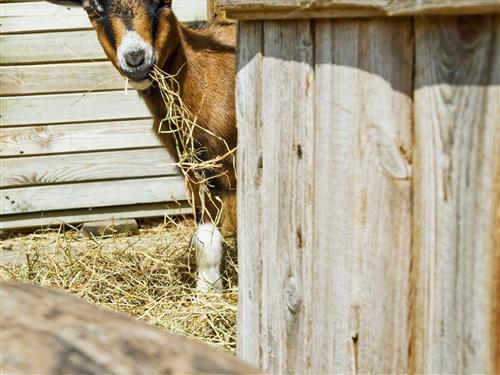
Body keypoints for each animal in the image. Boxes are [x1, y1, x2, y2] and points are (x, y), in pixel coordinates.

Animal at [47, 0, 236, 292]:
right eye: (92, 10)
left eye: (163, 3)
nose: (135, 59)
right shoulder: (193, 165)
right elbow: (205, 235)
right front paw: (207, 291)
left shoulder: (218, 163)